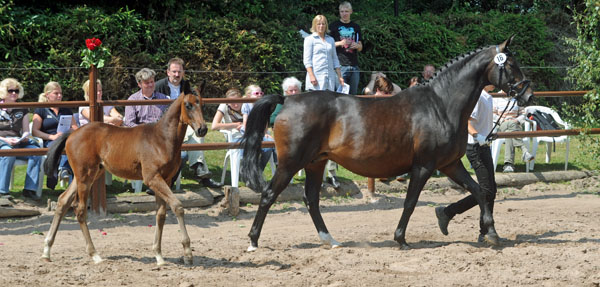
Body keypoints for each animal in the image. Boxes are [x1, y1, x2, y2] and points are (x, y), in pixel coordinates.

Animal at [41, 91, 207, 266]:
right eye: (188, 105)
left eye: (201, 104)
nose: (202, 129)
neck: (161, 139)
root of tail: (72, 134)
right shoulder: (152, 178)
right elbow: (177, 206)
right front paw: (187, 254)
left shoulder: (165, 180)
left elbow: (160, 215)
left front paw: (159, 255)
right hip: (85, 177)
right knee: (79, 210)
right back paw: (94, 254)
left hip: (86, 175)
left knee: (63, 201)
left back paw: (47, 251)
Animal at [241, 36, 532, 252]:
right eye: (511, 64)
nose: (528, 94)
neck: (440, 105)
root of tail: (287, 100)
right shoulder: (424, 166)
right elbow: (410, 203)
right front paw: (400, 239)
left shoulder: (450, 164)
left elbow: (480, 191)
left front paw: (490, 233)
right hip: (290, 164)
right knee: (269, 195)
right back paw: (253, 241)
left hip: (315, 162)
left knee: (311, 199)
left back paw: (330, 240)